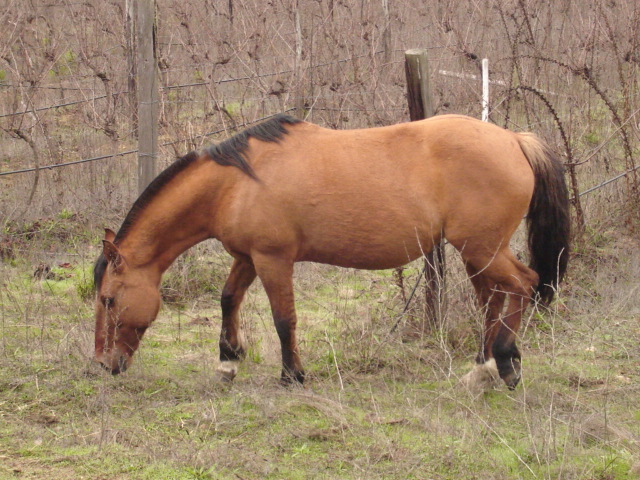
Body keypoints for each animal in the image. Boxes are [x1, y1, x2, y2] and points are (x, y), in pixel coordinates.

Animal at [94, 113, 568, 390]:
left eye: (109, 299)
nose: (103, 363)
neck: (236, 183)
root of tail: (514, 139)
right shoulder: (248, 257)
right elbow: (229, 299)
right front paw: (229, 360)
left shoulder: (273, 259)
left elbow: (284, 319)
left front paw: (292, 375)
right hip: (477, 252)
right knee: (492, 298)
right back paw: (483, 366)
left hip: (483, 248)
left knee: (522, 285)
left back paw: (506, 362)